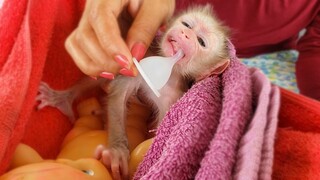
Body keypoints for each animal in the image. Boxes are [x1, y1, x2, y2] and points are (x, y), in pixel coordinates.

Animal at [37, 4, 230, 180]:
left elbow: (159, 136)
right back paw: (62, 98)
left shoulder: (173, 98)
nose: (185, 34)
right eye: (187, 24)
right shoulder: (140, 62)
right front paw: (117, 151)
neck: (170, 70)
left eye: (201, 41)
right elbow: (119, 95)